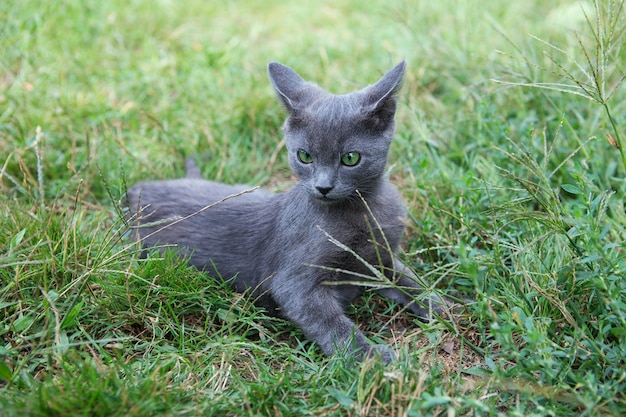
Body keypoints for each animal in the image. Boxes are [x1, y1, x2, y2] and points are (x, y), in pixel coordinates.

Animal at [125, 60, 438, 362]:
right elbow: (332, 324)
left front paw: (442, 306)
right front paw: (371, 358)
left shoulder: (382, 261)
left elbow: (412, 281)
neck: (363, 209)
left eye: (350, 158)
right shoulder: (294, 283)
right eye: (305, 156)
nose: (323, 187)